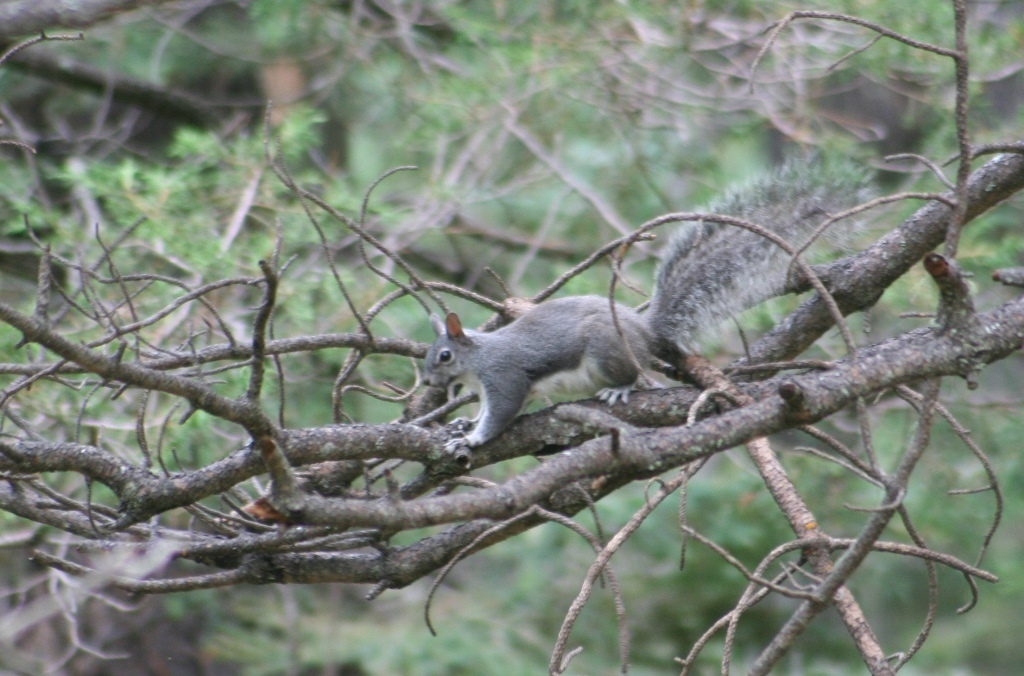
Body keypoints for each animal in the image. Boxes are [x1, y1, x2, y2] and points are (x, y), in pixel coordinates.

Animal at [424, 159, 869, 450]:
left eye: (444, 356)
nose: (427, 383)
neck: (478, 362)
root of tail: (643, 333)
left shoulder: (504, 377)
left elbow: (501, 412)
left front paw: (474, 438)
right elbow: (485, 410)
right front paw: (464, 421)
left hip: (606, 351)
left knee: (631, 375)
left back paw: (620, 389)